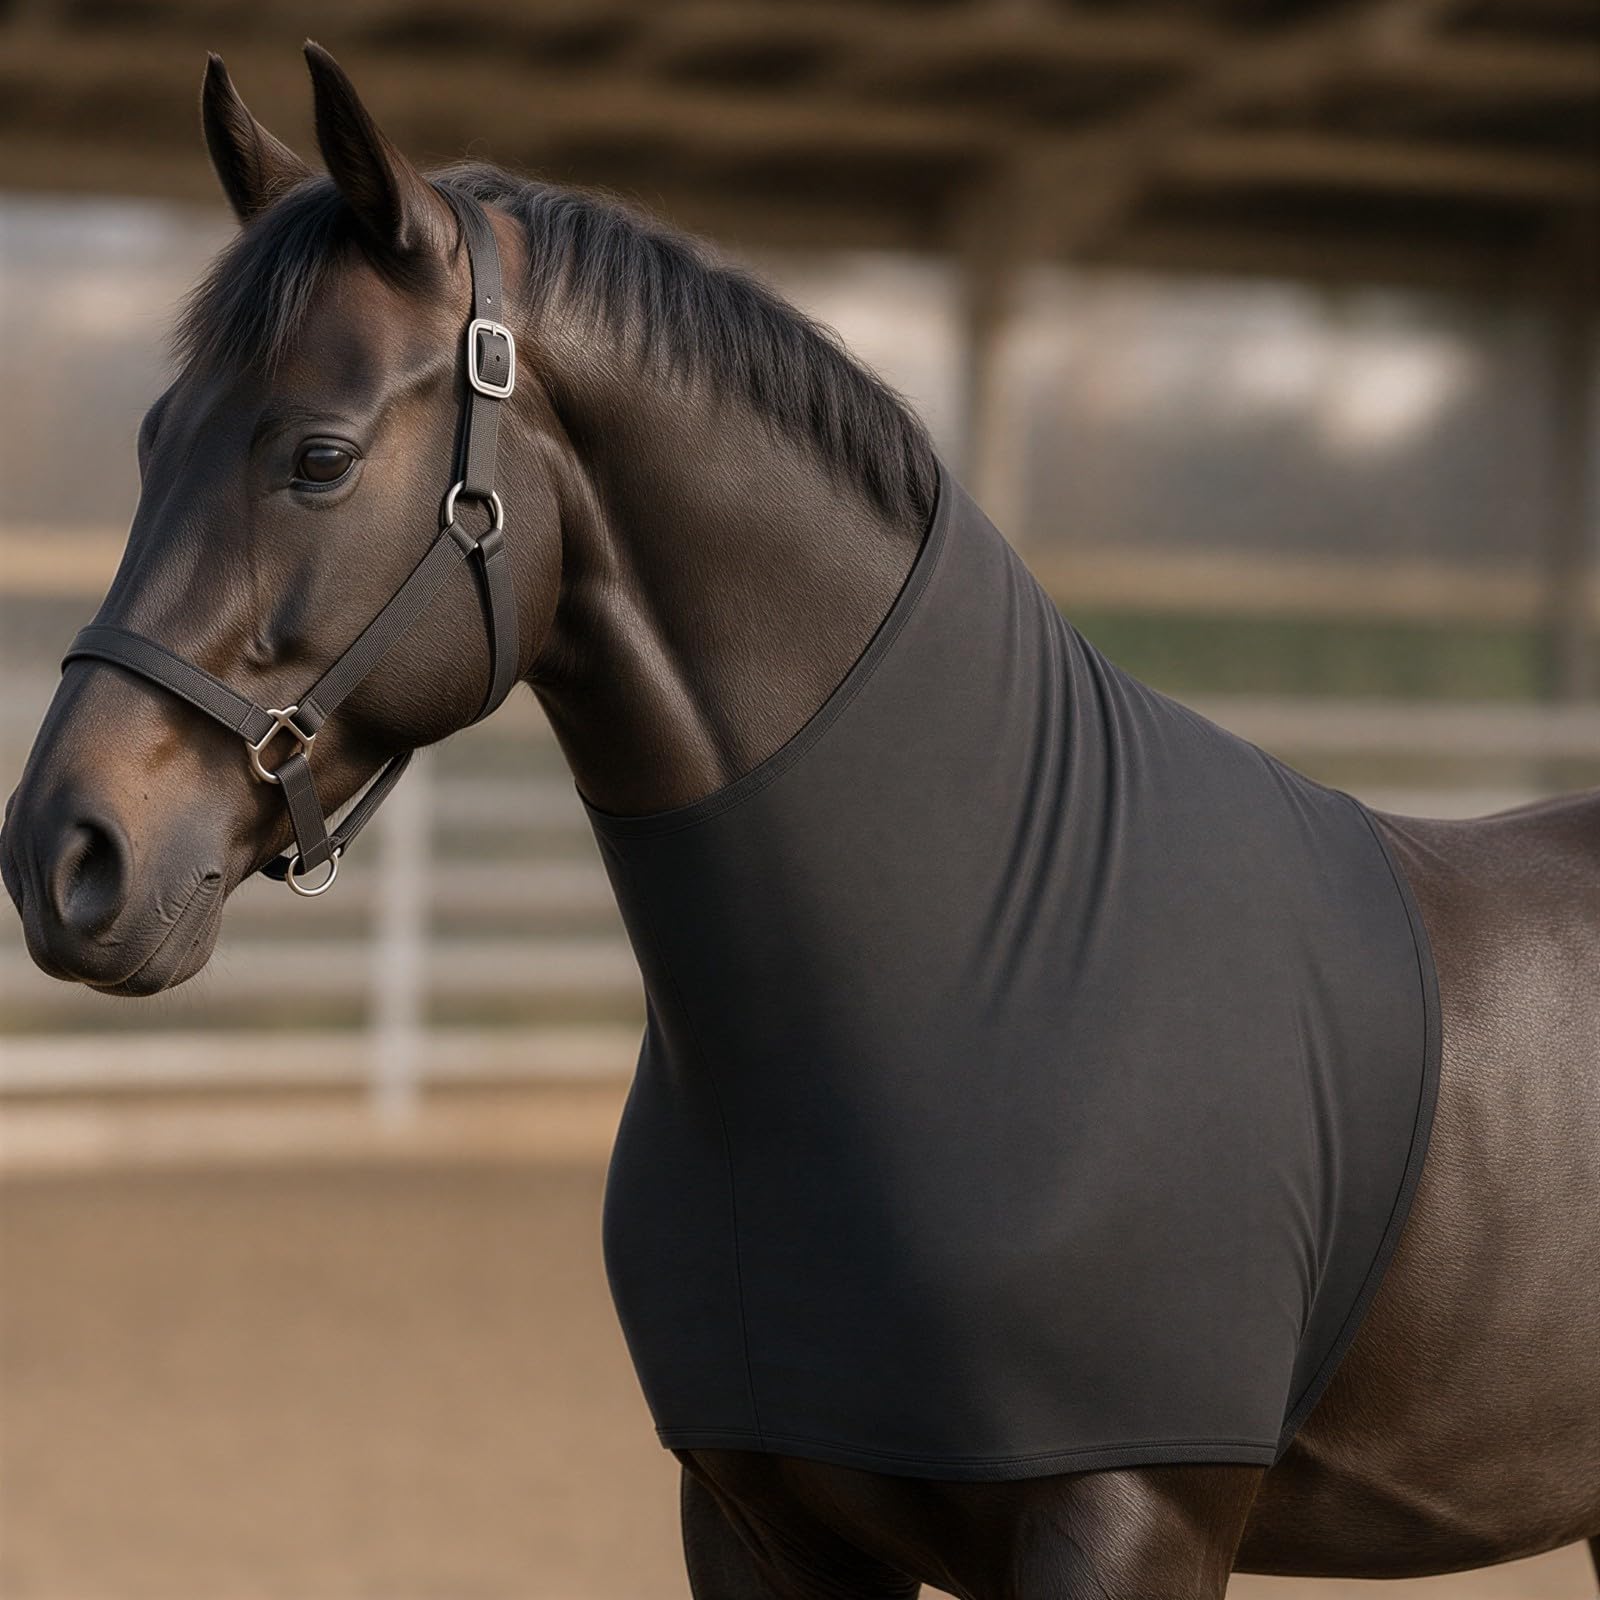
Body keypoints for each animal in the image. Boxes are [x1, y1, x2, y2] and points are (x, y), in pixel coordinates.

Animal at [3, 46, 1596, 1599]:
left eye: (320, 459)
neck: (976, 969)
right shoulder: (760, 1525)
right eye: (152, 439)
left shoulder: (1133, 1524)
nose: (63, 854)